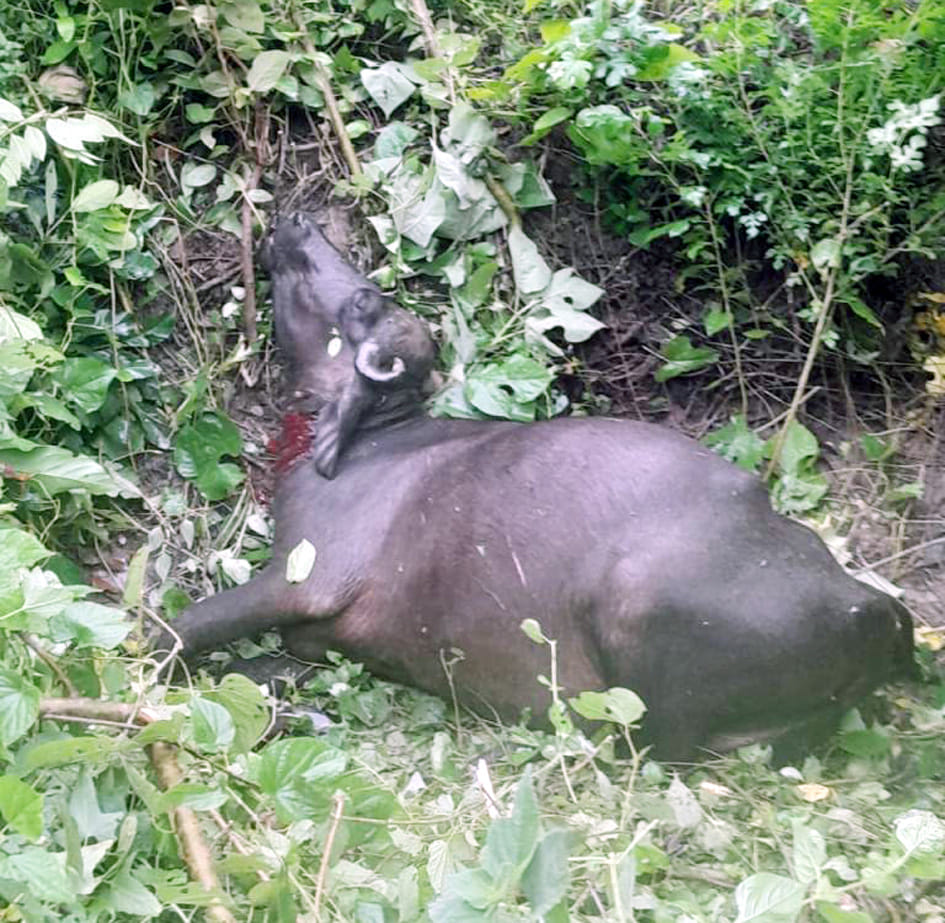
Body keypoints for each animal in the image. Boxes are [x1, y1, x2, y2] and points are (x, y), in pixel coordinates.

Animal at [159, 212, 914, 760]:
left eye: (367, 300)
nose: (295, 222)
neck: (368, 442)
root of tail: (869, 609)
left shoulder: (304, 579)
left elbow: (176, 625)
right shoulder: (314, 636)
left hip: (636, 623)